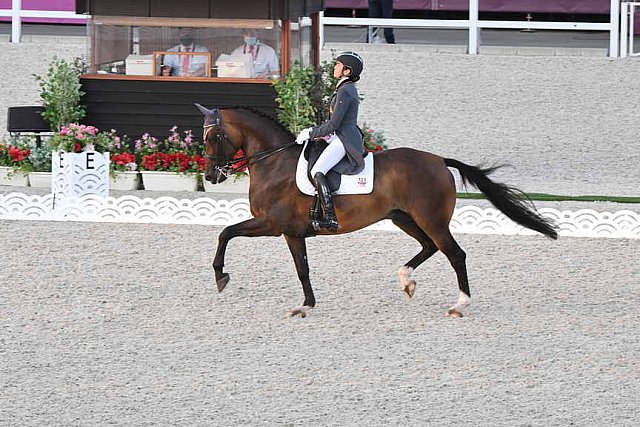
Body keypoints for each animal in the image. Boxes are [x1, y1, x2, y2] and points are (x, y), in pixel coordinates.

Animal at [196, 104, 556, 318]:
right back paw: (406, 281)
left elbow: (226, 232)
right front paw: (306, 304)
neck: (274, 163)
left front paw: (221, 276)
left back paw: (460, 304)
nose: (212, 175)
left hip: (431, 219)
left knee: (454, 253)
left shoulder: (273, 224)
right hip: (403, 217)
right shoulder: (291, 232)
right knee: (429, 247)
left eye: (214, 136)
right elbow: (302, 268)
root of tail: (440, 161)